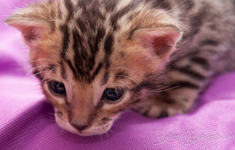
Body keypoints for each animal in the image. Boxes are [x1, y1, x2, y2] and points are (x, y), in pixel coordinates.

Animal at [5, 0, 235, 136]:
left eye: (113, 93)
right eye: (57, 87)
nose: (79, 126)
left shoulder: (212, 33)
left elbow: (188, 70)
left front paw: (166, 101)